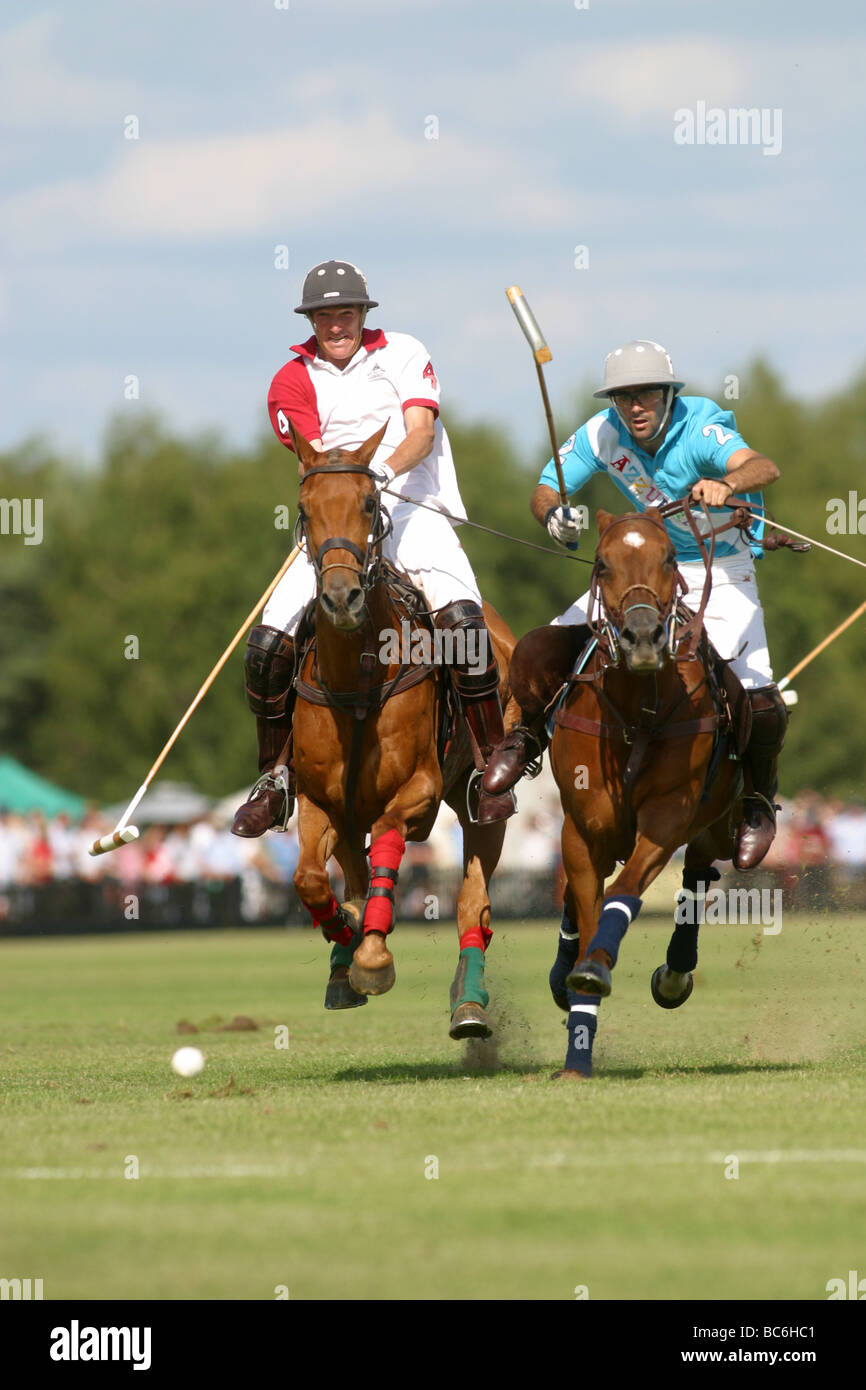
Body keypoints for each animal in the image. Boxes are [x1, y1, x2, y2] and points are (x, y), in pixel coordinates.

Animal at [287, 422, 517, 1045]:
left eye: (370, 502)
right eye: (304, 509)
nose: (341, 598)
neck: (357, 679)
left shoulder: (419, 789)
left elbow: (389, 839)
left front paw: (372, 957)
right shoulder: (320, 800)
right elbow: (311, 880)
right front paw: (345, 939)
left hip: (479, 802)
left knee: (473, 905)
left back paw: (469, 1004)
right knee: (351, 873)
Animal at [508, 505, 745, 1078]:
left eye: (670, 559)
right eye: (602, 563)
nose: (642, 639)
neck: (638, 709)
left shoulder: (667, 818)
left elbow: (623, 893)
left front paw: (594, 970)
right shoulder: (583, 826)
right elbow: (589, 907)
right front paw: (578, 1043)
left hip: (715, 821)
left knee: (698, 876)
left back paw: (675, 973)